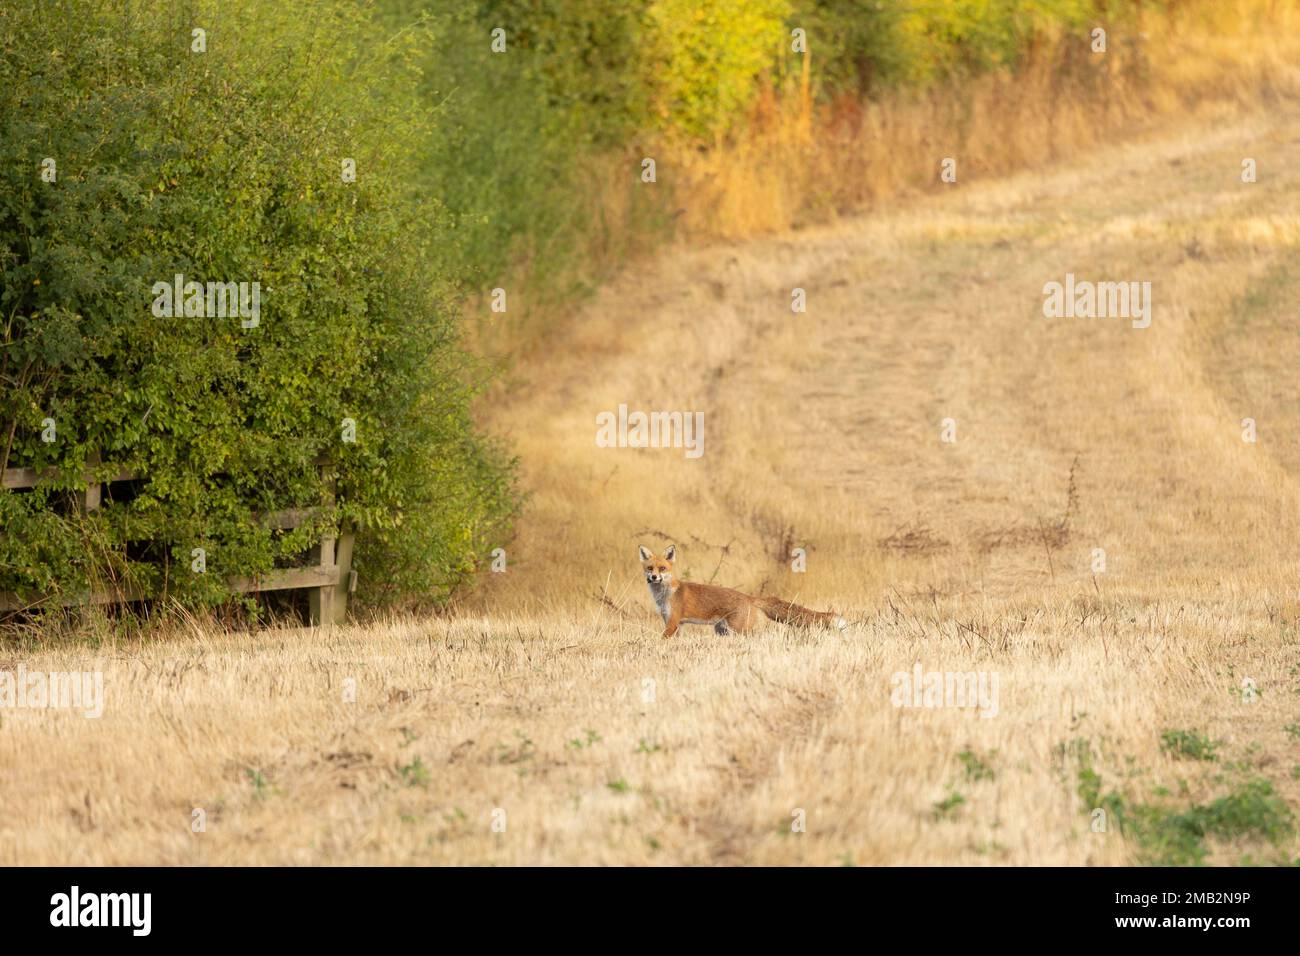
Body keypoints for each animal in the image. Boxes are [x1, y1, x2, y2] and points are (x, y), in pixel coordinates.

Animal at [637, 546, 842, 634]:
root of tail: (750, 597)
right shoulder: (675, 623)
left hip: (739, 629)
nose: (653, 577)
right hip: (722, 630)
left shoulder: (672, 622)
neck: (664, 595)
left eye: (662, 568)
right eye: (650, 568)